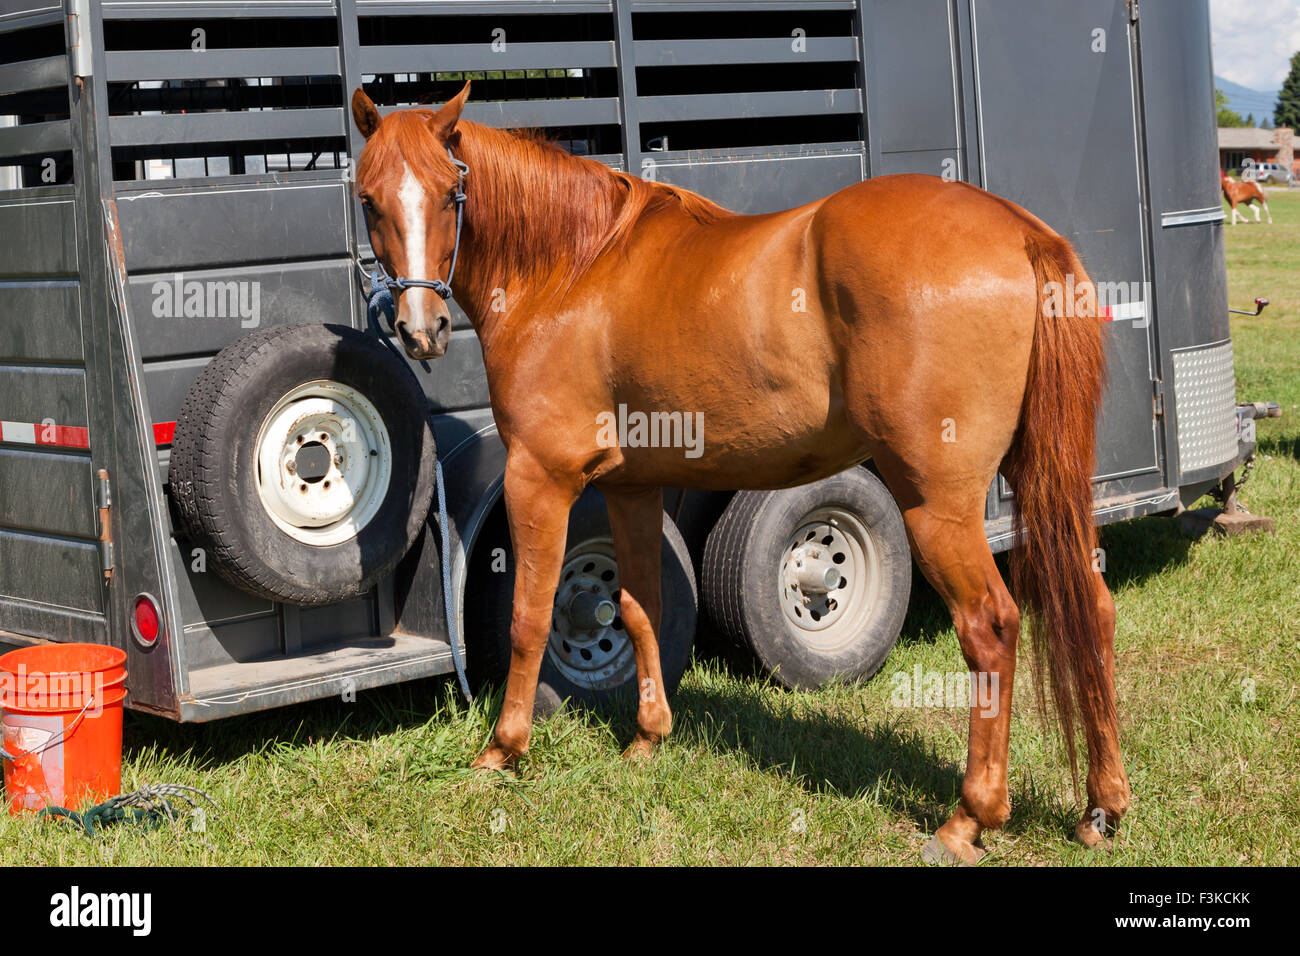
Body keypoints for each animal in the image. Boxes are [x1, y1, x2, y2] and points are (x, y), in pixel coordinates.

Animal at [351, 83, 1129, 864]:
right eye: (369, 200)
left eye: (451, 194)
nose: (422, 330)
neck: (573, 269)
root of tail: (1018, 231)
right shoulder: (631, 487)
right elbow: (639, 605)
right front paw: (648, 738)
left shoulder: (539, 477)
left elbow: (528, 616)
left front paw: (503, 750)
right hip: (1042, 481)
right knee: (1090, 606)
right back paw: (1102, 806)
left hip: (936, 503)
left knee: (990, 626)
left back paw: (970, 816)